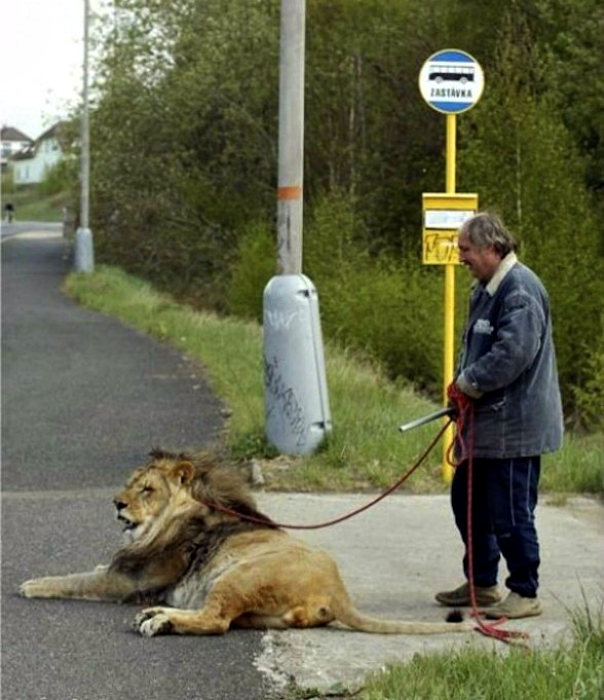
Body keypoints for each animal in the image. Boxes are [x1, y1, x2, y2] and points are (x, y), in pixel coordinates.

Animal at [18, 448, 474, 640]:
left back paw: (159, 622)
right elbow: (89, 569)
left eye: (146, 489)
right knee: (219, 617)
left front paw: (30, 584)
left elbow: (72, 579)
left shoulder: (128, 581)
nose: (117, 502)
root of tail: (337, 592)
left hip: (238, 576)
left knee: (216, 622)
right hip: (258, 609)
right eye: (130, 484)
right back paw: (158, 615)